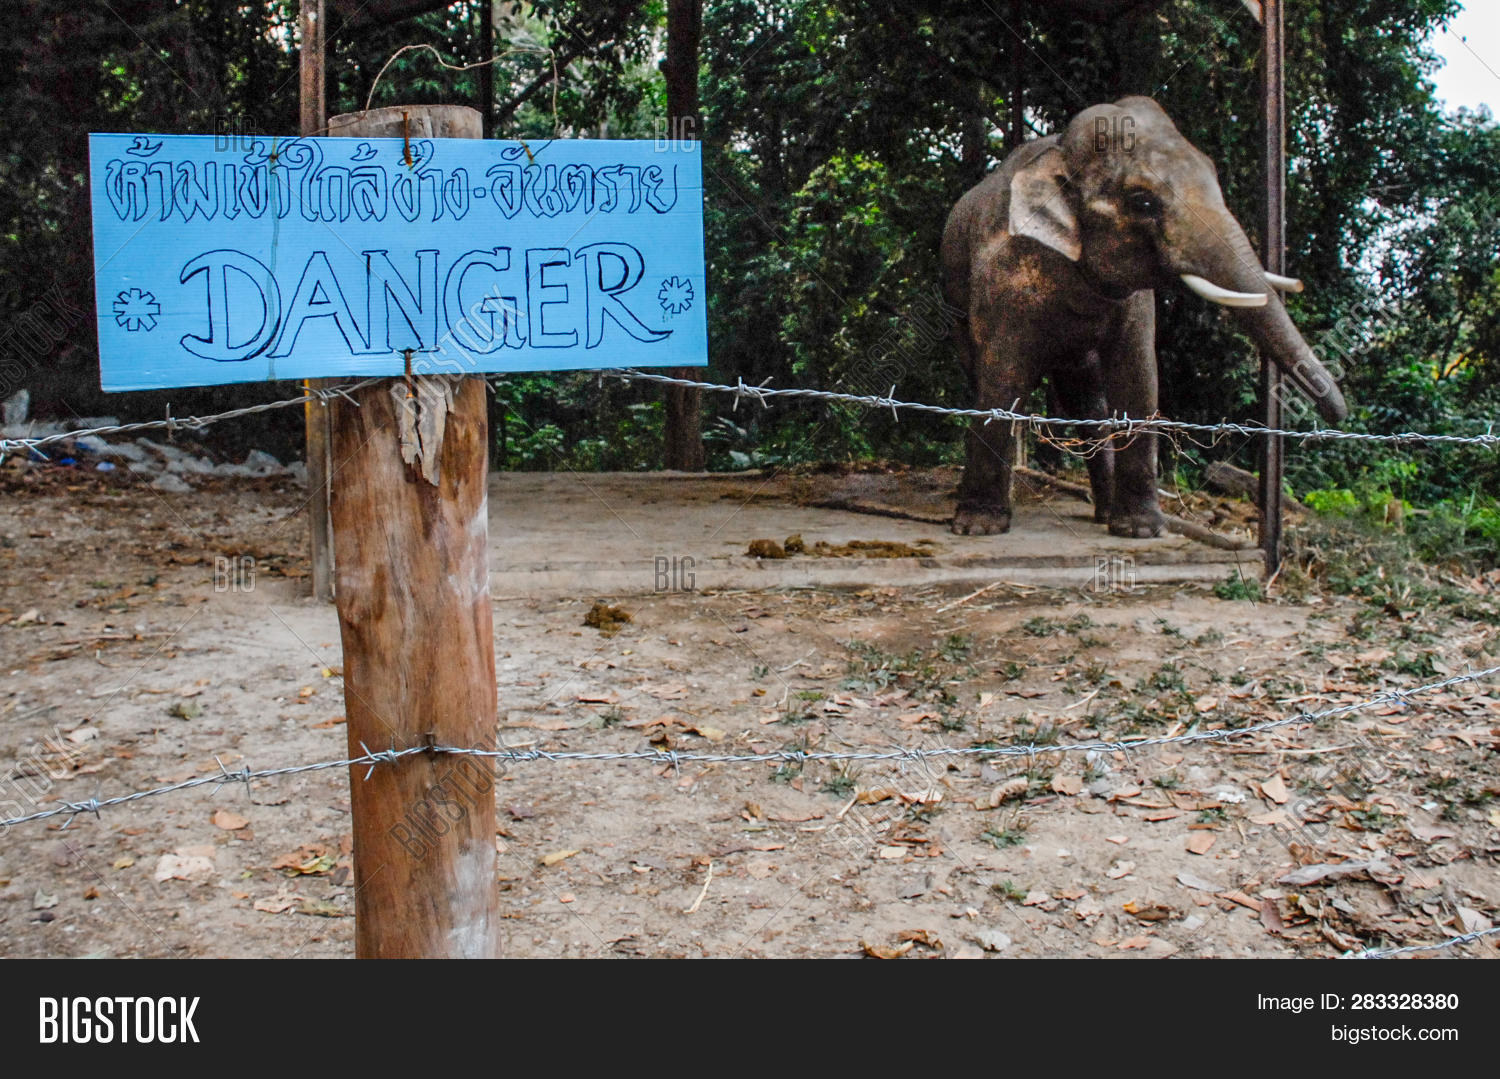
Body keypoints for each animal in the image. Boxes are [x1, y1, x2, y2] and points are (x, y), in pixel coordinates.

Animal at [941, 95, 1347, 538]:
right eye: (1143, 201)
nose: (1338, 418)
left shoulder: (1134, 300)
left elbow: (1138, 375)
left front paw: (1139, 531)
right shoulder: (1001, 276)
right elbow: (1002, 375)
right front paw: (978, 527)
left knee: (1088, 398)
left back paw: (1103, 512)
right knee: (988, 375)